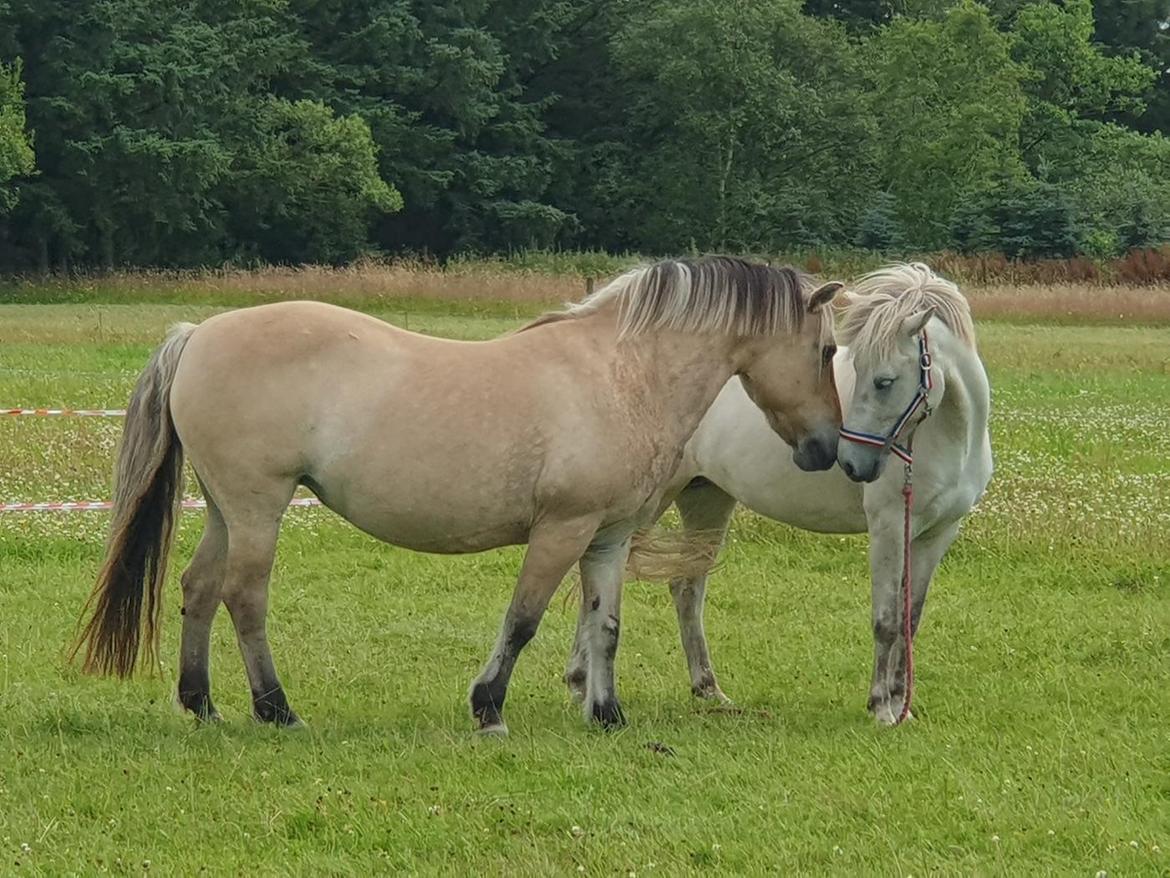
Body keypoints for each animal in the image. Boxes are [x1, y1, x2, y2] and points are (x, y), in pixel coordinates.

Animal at [563, 264, 987, 725]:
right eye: (860, 370)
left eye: (884, 381)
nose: (851, 463)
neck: (951, 438)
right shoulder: (889, 528)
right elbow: (887, 620)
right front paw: (881, 706)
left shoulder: (938, 534)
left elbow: (911, 619)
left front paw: (900, 705)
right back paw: (581, 682)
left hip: (706, 500)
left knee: (685, 588)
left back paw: (706, 688)